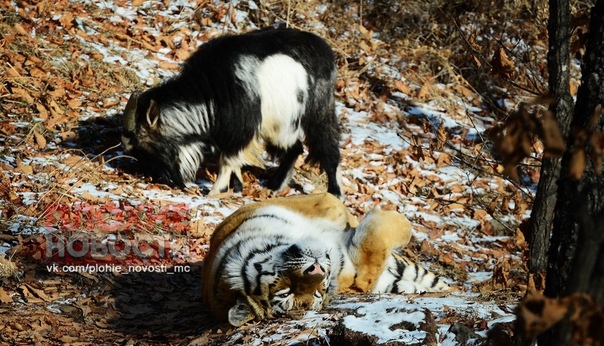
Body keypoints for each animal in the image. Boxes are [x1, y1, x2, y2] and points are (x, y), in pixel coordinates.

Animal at [120, 27, 342, 197]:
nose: (159, 179)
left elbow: (227, 161)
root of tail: (327, 52)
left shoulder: (240, 130)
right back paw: (275, 186)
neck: (211, 89)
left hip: (317, 113)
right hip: (278, 126)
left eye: (144, 146)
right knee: (294, 148)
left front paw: (214, 192)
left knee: (327, 148)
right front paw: (236, 188)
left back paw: (335, 192)